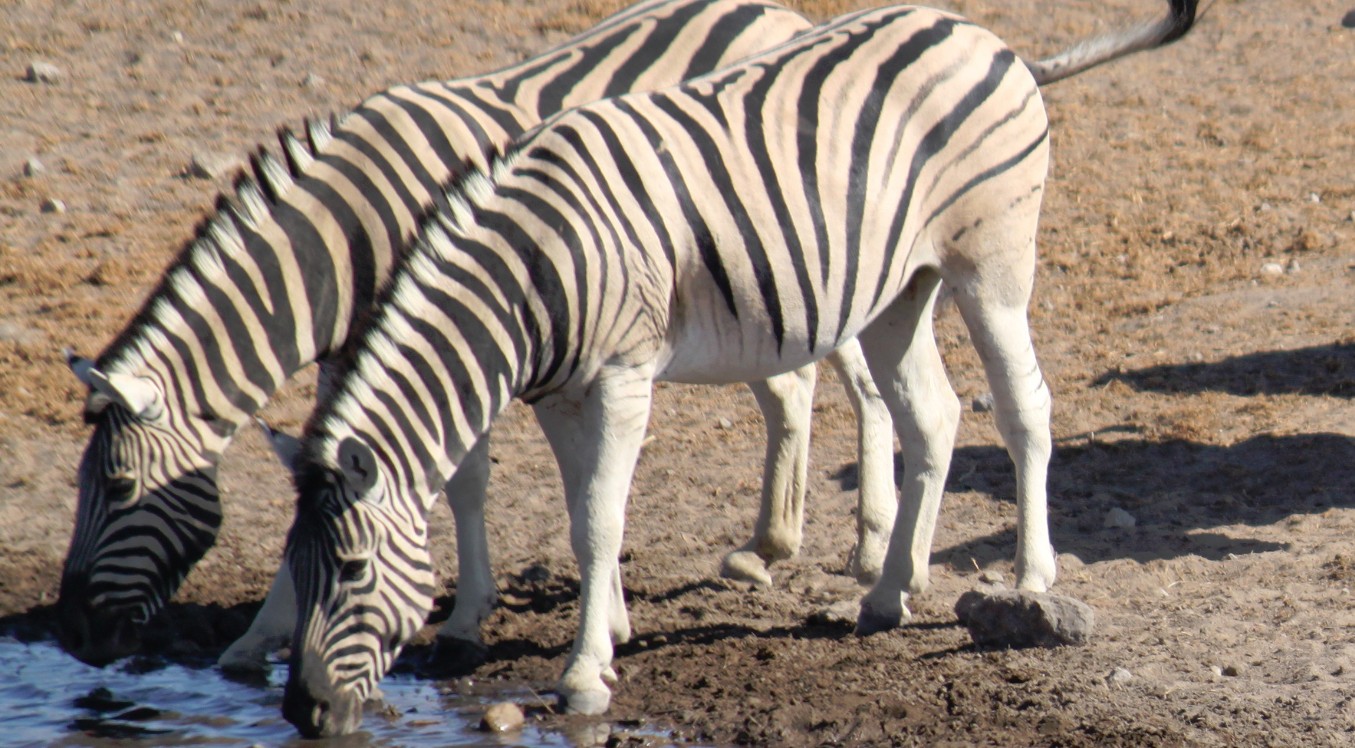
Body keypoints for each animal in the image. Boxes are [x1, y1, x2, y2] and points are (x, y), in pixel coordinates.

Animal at [52, 0, 905, 672]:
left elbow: (465, 480)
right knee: (790, 387)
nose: (73, 640)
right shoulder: (360, 354)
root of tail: (786, 17)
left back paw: (867, 544)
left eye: (118, 487)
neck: (345, 237)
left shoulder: (456, 332)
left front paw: (467, 617)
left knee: (861, 386)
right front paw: (260, 635)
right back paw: (769, 542)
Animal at [275, 0, 1197, 731]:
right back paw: (888, 594)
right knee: (932, 416)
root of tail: (979, 33)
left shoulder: (623, 375)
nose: (300, 712)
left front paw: (584, 676)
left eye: (352, 570)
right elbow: (582, 513)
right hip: (903, 286)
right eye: (297, 565)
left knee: (1023, 406)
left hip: (992, 262)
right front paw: (610, 632)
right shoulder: (561, 393)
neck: (531, 272)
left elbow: (599, 518)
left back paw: (1032, 576)